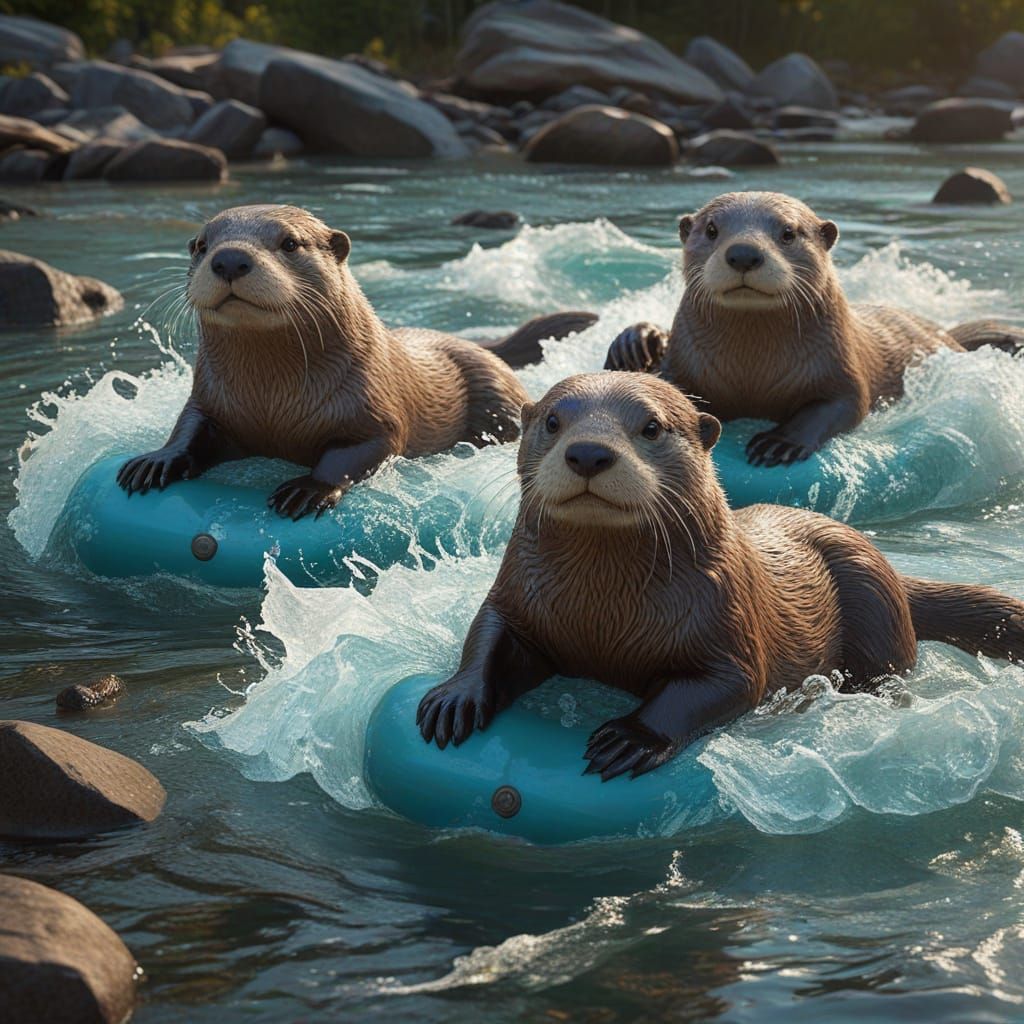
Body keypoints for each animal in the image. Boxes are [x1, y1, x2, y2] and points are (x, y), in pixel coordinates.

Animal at [118, 204, 597, 519]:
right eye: (201, 245)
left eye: (289, 243)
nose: (229, 258)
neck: (273, 401)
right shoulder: (210, 397)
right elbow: (190, 427)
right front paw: (155, 460)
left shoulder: (374, 407)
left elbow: (364, 448)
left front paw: (309, 488)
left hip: (495, 397)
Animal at [417, 373, 1024, 780]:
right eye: (551, 420)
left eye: (651, 426)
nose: (588, 452)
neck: (602, 614)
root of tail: (890, 567)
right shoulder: (516, 595)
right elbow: (487, 636)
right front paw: (453, 698)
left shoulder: (728, 622)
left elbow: (724, 685)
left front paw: (631, 737)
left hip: (872, 599)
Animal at [604, 191, 1024, 466]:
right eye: (711, 229)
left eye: (788, 232)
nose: (743, 253)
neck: (752, 372)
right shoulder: (683, 366)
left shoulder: (841, 366)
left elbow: (842, 403)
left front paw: (778, 444)